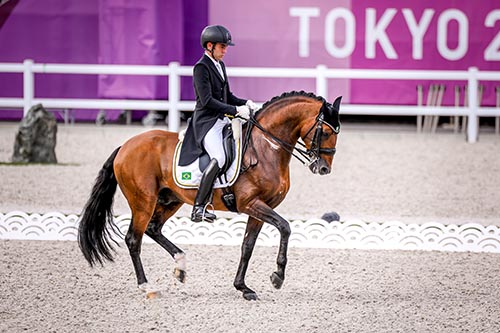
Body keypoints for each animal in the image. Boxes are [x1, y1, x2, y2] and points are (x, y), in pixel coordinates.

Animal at [78, 89, 342, 300]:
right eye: (326, 132)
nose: (323, 168)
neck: (267, 147)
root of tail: (125, 146)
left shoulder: (259, 208)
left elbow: (248, 246)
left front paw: (243, 287)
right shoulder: (251, 203)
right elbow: (285, 227)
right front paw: (277, 276)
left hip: (170, 199)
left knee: (153, 229)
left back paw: (181, 267)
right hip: (143, 201)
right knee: (134, 239)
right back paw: (147, 287)